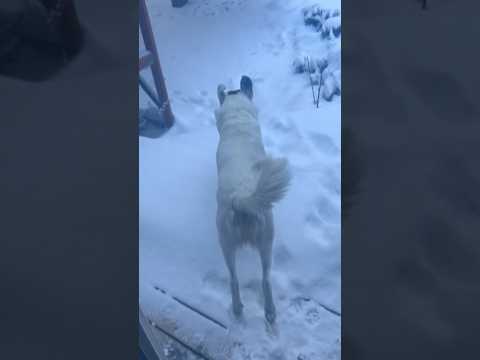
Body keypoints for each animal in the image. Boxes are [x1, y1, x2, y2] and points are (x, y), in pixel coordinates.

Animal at [215, 76, 290, 324]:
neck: (237, 114)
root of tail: (241, 198)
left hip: (231, 243)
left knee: (235, 278)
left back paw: (243, 309)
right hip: (264, 239)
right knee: (262, 278)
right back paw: (267, 309)